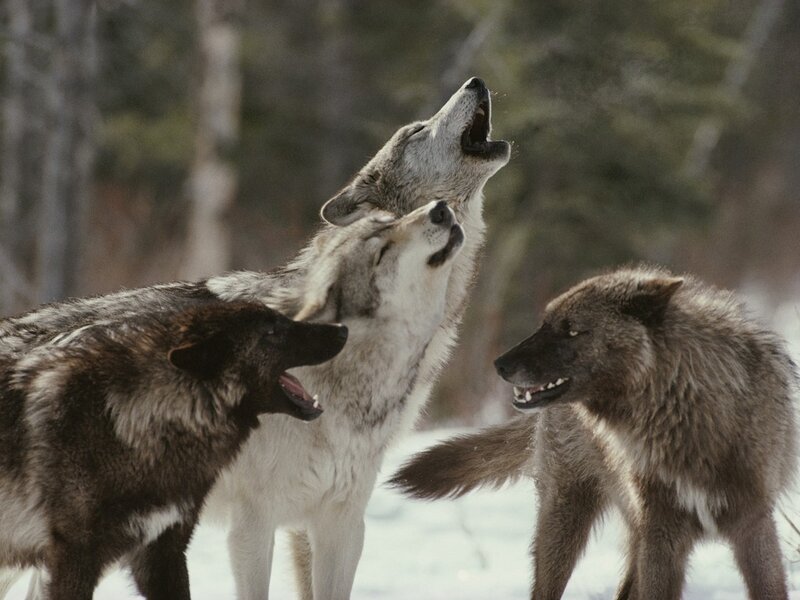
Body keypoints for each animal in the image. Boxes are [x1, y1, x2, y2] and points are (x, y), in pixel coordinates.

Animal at [391, 266, 798, 600]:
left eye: (571, 330)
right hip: (566, 522)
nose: (500, 365)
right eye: (544, 323)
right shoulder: (662, 534)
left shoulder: (753, 524)